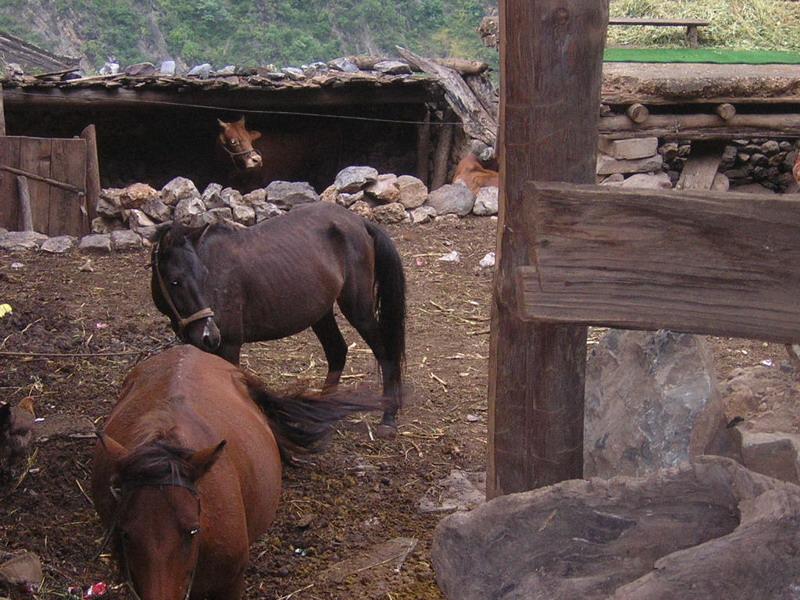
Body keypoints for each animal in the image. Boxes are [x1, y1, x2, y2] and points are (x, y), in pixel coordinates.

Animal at [152, 202, 406, 432]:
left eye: (204, 275)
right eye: (175, 281)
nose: (210, 335)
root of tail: (358, 221)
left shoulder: (230, 346)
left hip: (358, 309)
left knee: (385, 354)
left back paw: (388, 418)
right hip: (320, 313)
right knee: (337, 351)